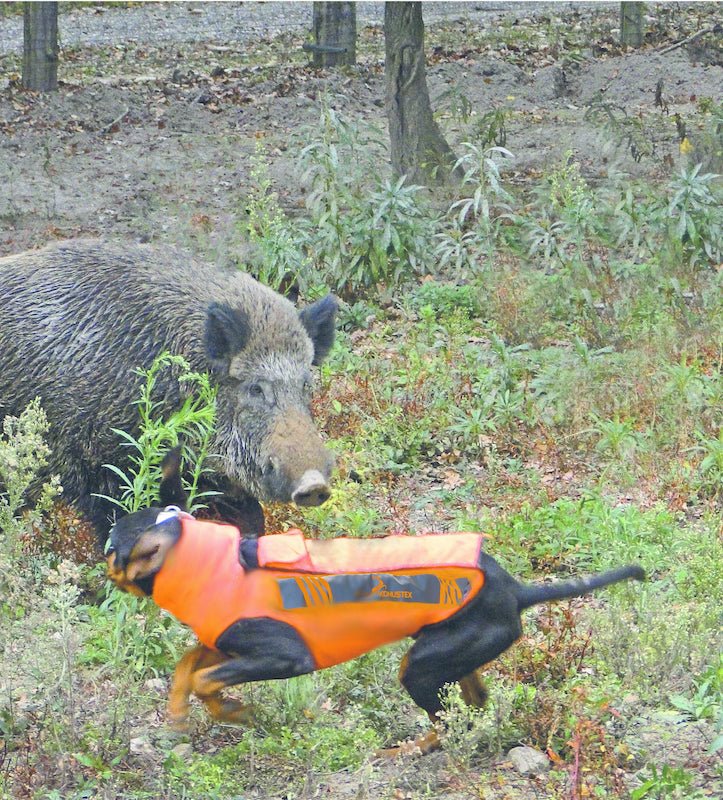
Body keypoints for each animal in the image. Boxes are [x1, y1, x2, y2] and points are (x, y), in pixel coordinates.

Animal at [104, 454, 640, 752]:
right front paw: (181, 713)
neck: (220, 564)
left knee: (446, 724)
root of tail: (516, 590)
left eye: (112, 548)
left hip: (420, 669)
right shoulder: (224, 642)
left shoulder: (284, 656)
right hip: (451, 657)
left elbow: (203, 678)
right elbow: (186, 667)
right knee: (473, 708)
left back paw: (406, 751)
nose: (102, 564)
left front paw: (233, 710)